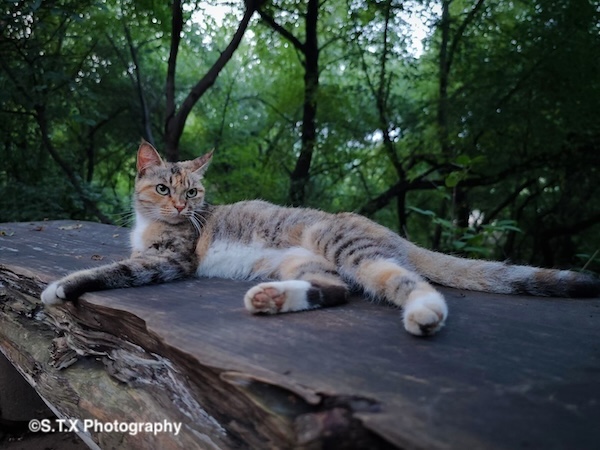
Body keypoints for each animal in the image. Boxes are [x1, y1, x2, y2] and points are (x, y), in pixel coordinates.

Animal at [42, 141, 600, 334]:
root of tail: (385, 229)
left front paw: (59, 287)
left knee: (404, 281)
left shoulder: (169, 260)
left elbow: (113, 270)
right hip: (297, 261)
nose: (183, 206)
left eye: (193, 191)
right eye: (162, 188)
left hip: (348, 248)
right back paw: (270, 299)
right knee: (336, 289)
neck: (156, 223)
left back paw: (425, 313)